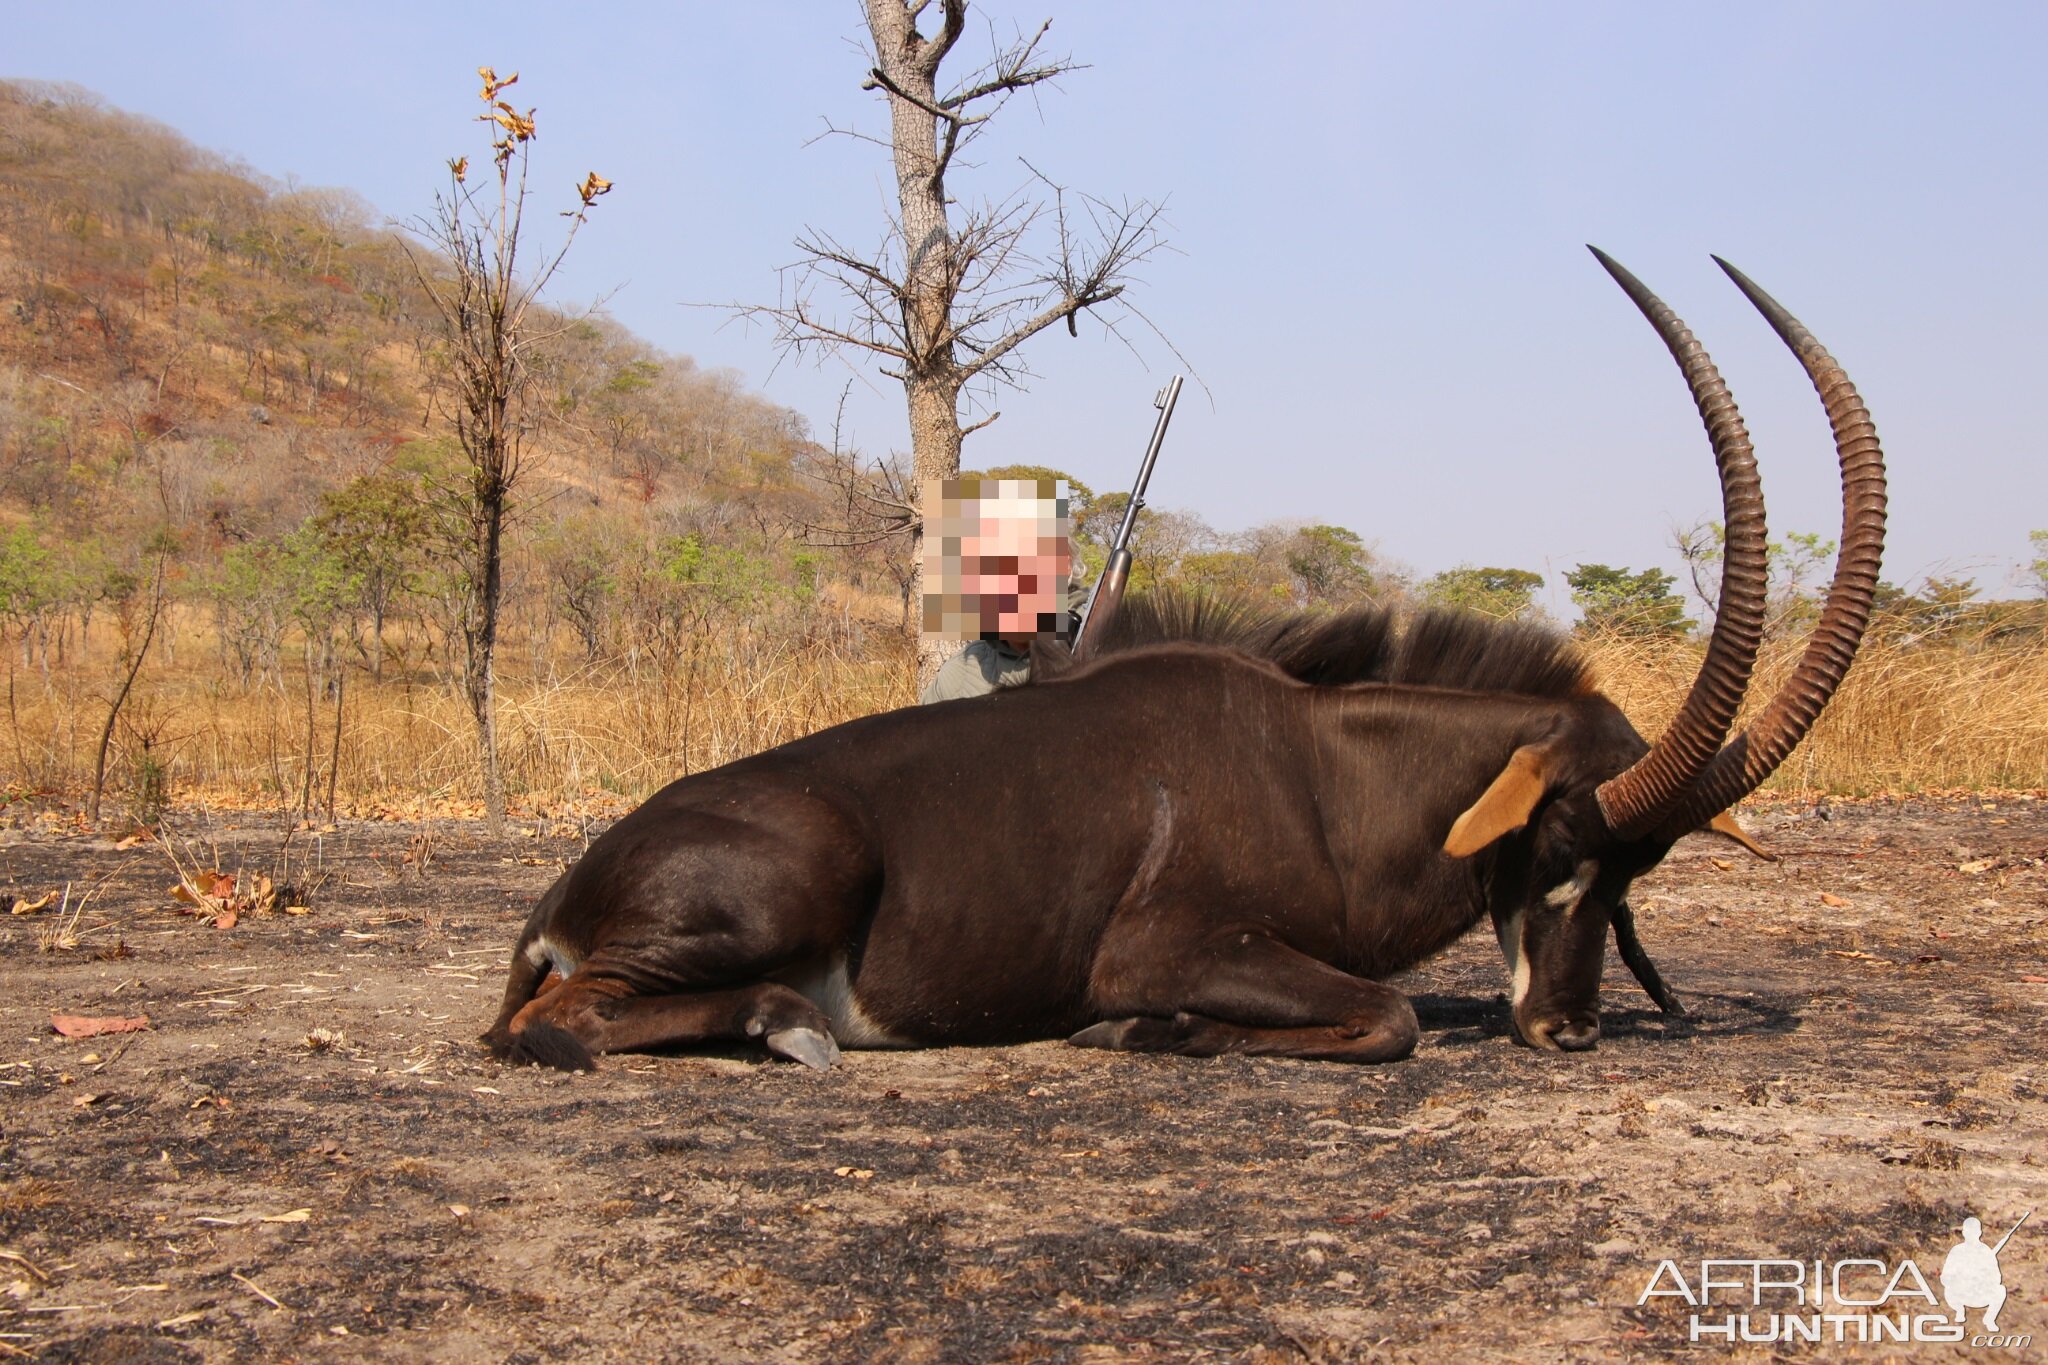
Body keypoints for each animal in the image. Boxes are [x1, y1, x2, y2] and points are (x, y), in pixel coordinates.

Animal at [483, 250, 1884, 1072]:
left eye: (1636, 878)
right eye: (1555, 849)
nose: (1571, 1027)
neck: (1323, 779)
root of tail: (568, 881)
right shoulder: (1167, 947)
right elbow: (1386, 1020)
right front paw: (1146, 1030)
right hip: (784, 887)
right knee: (563, 1021)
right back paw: (785, 1022)